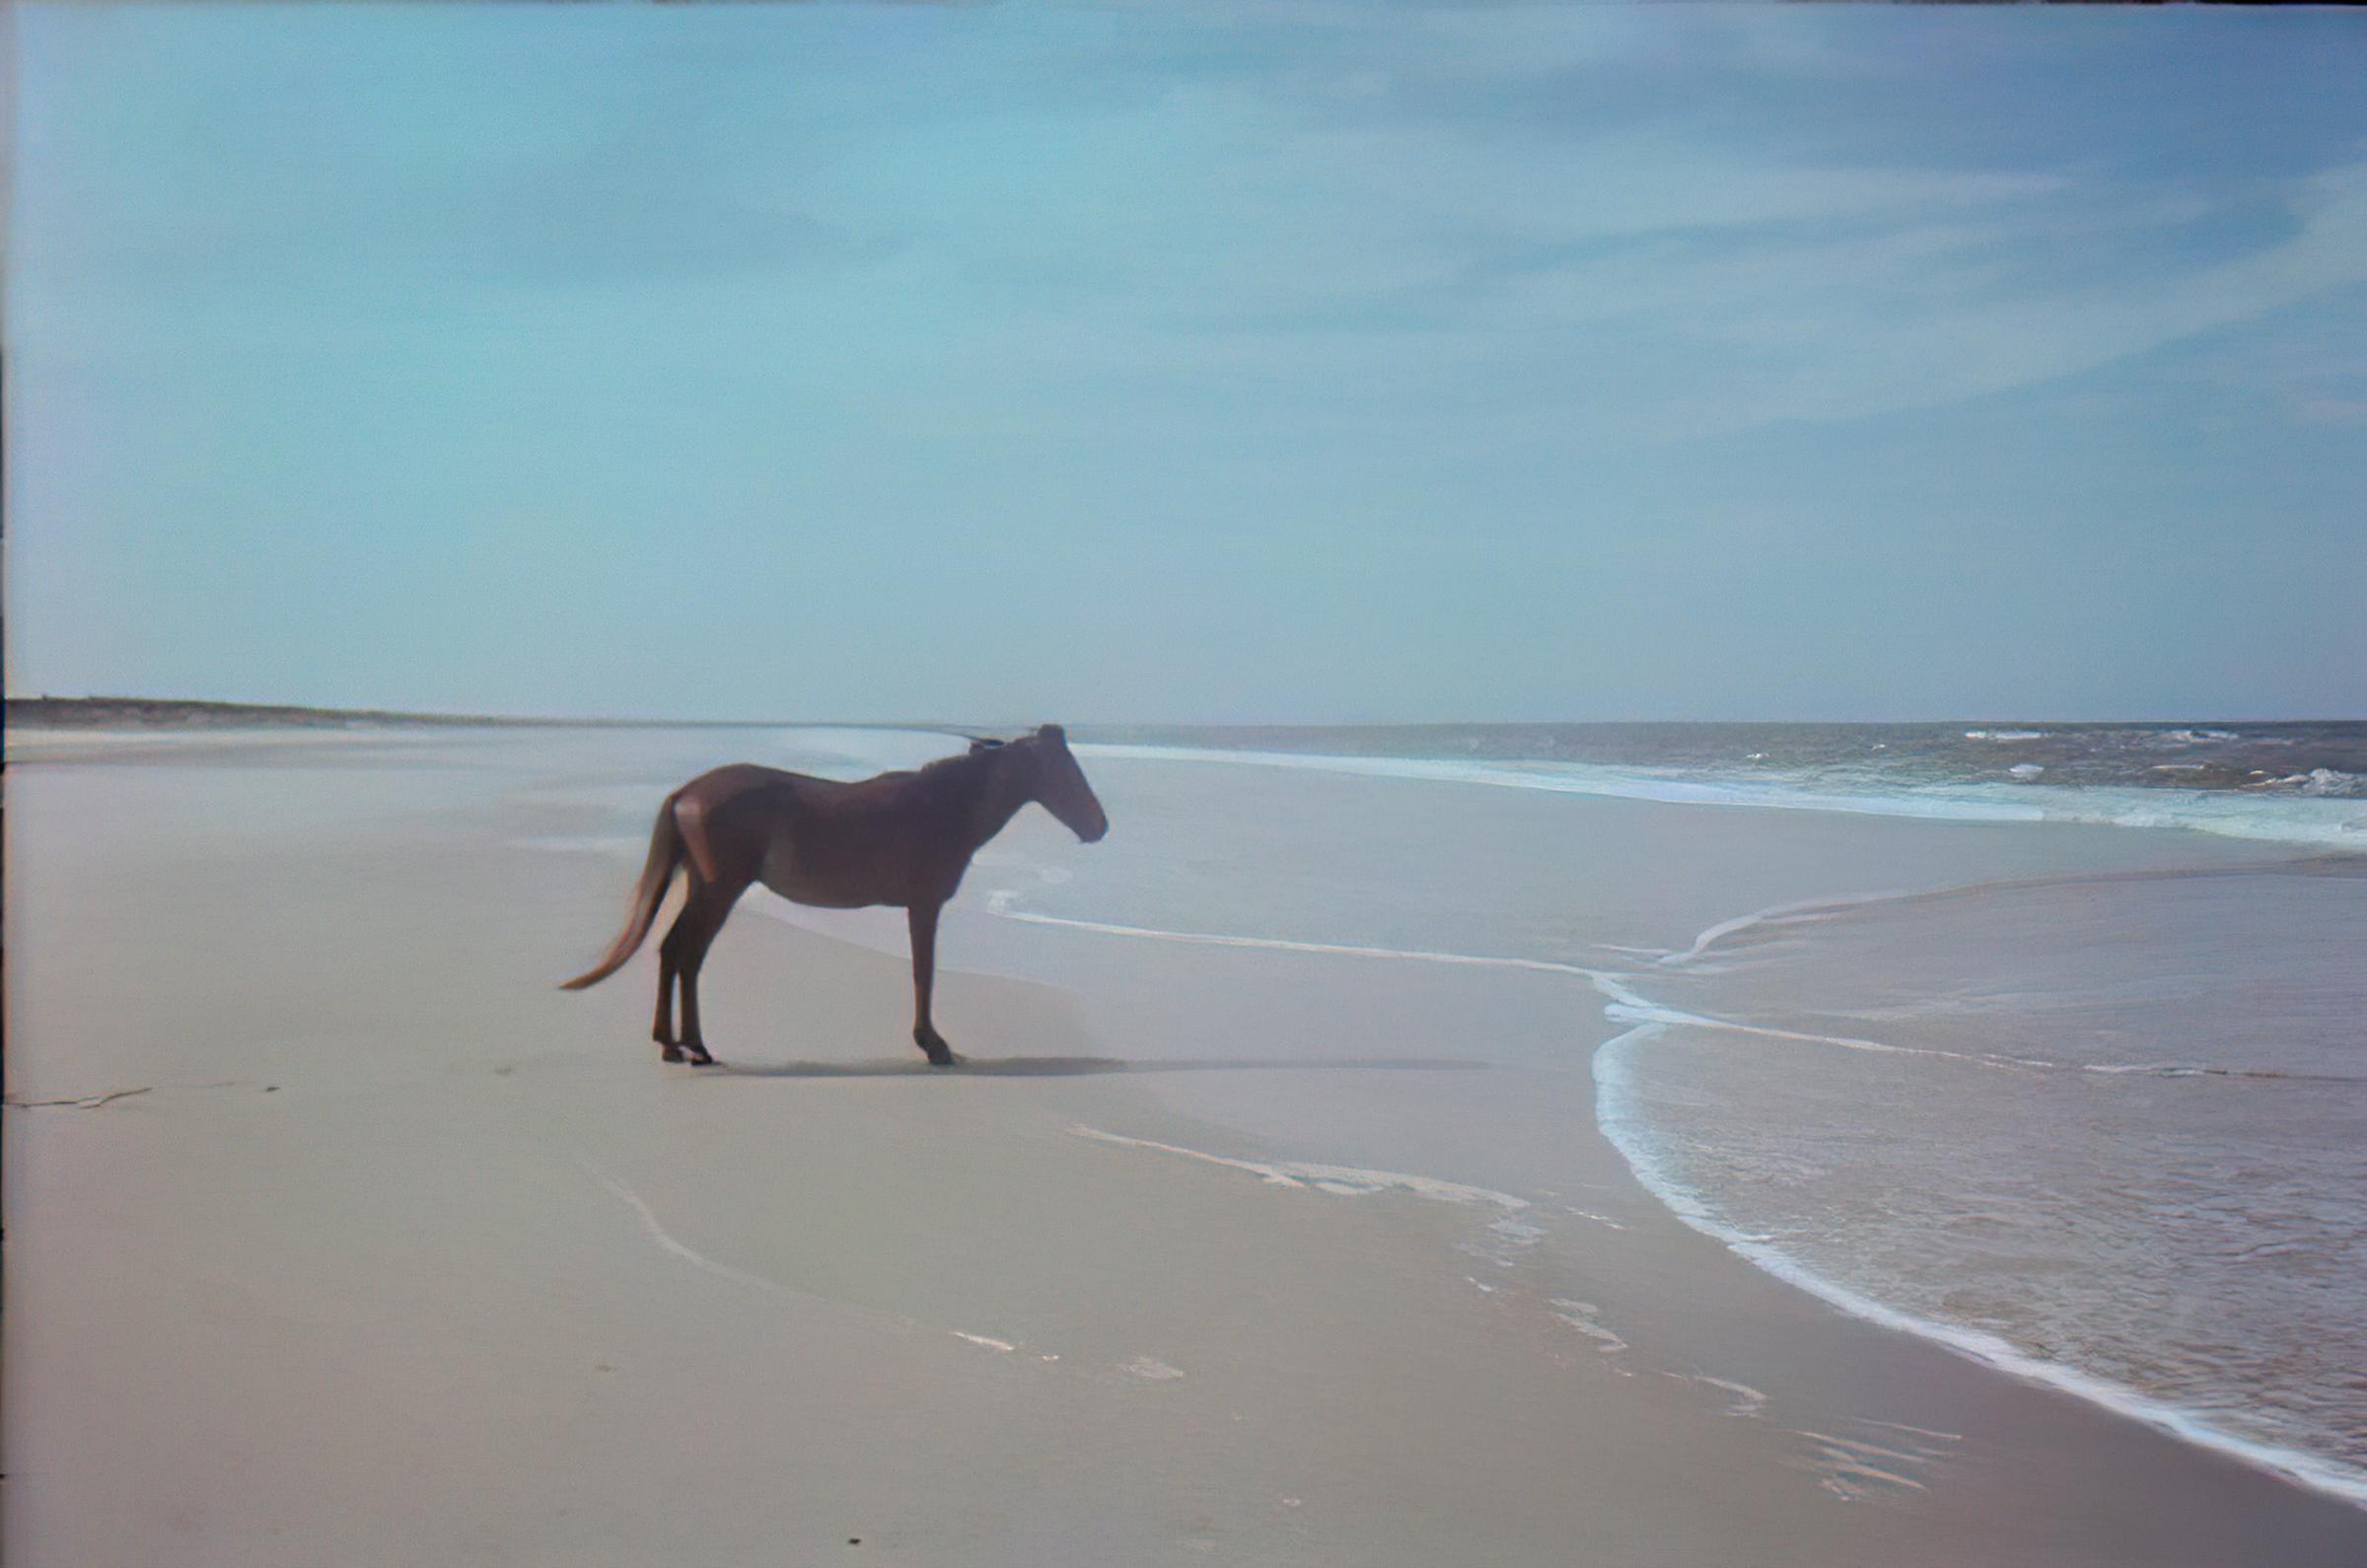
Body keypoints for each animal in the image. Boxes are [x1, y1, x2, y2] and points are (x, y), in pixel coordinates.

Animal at [560, 724, 1108, 1067]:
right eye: (1063, 770)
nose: (1100, 826)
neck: (942, 806)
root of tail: (688, 792)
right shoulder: (924, 905)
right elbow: (923, 973)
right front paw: (933, 1045)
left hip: (705, 887)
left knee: (675, 951)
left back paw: (675, 1045)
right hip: (719, 889)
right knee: (687, 954)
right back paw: (692, 1046)